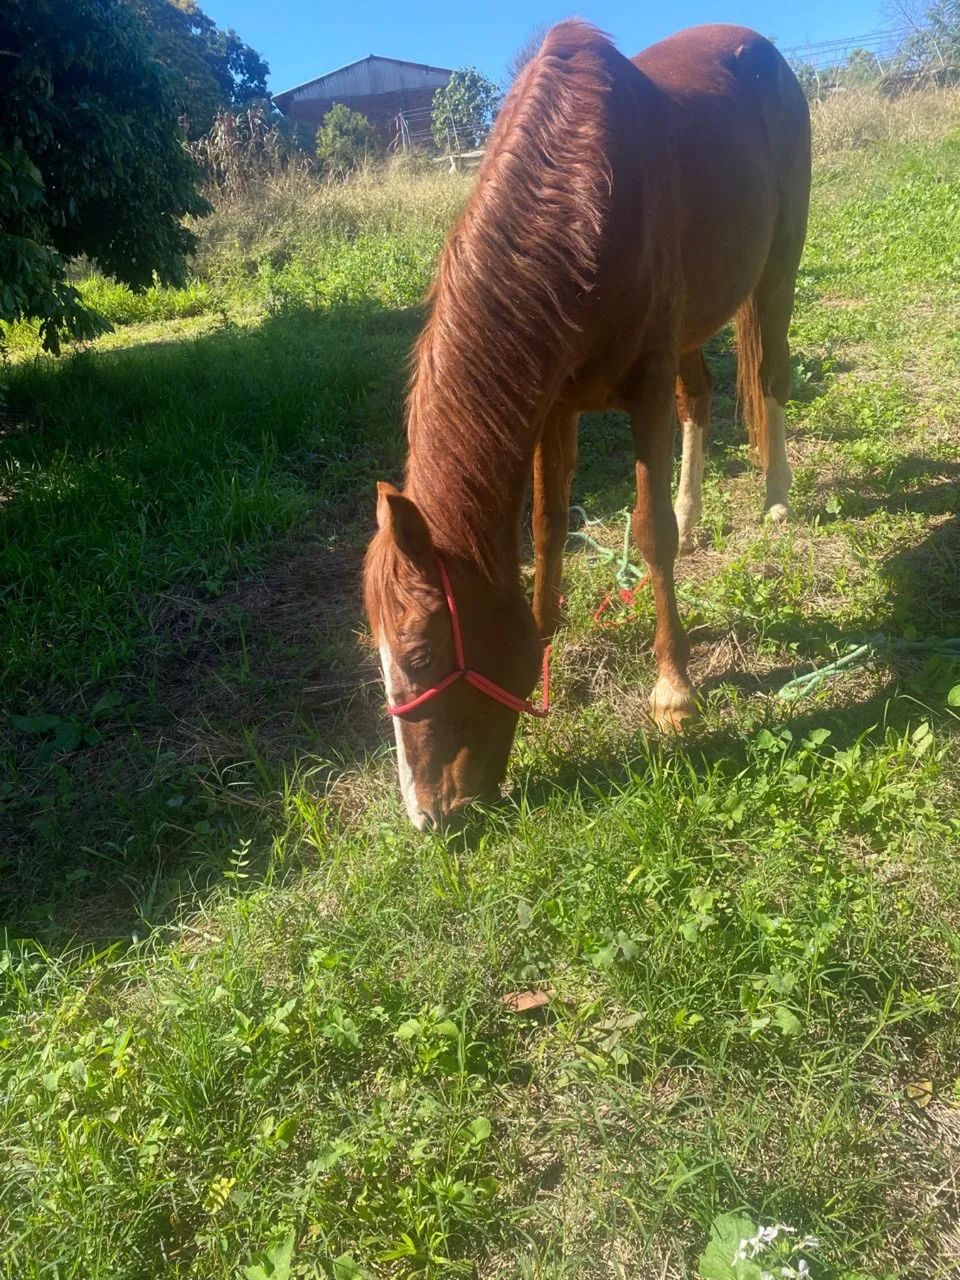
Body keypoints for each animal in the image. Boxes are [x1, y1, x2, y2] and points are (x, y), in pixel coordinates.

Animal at [364, 21, 811, 830]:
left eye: (418, 658)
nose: (428, 817)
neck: (576, 198)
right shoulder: (553, 404)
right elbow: (546, 527)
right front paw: (545, 646)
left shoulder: (642, 390)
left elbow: (649, 532)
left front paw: (674, 694)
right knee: (700, 397)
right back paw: (698, 511)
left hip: (776, 270)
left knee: (771, 377)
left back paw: (776, 494)